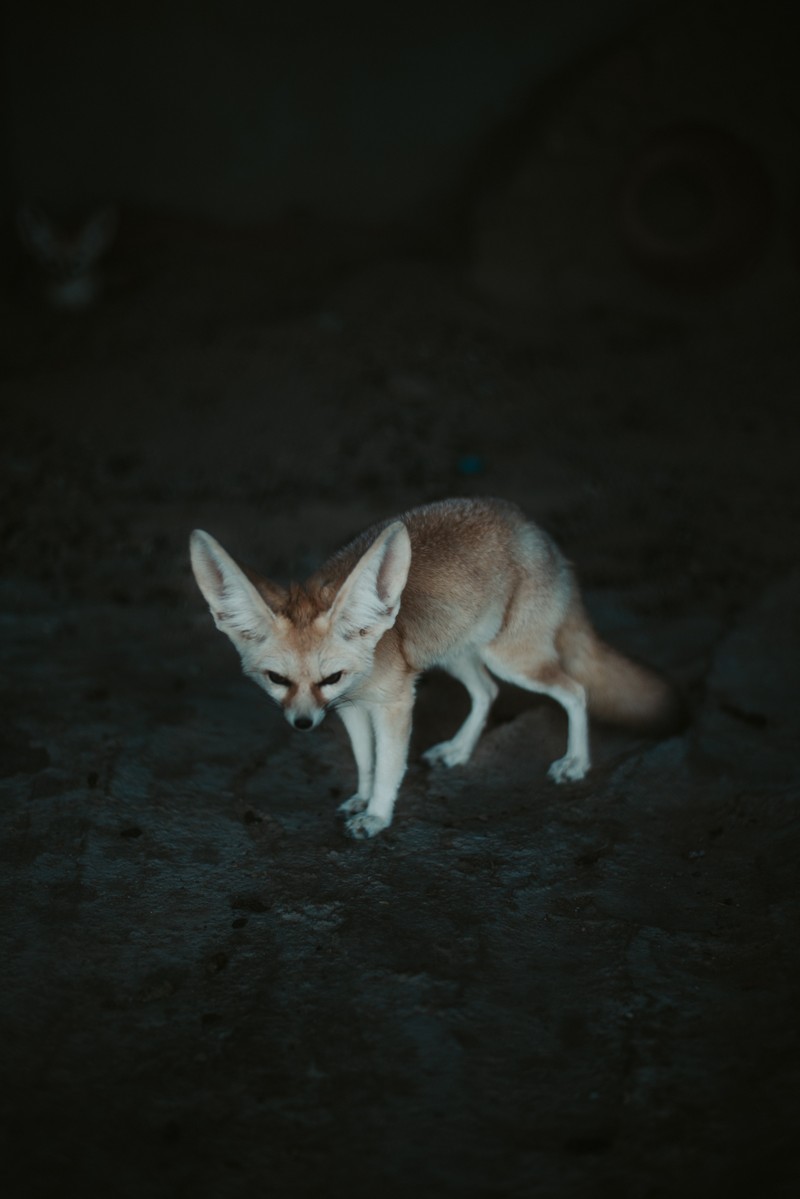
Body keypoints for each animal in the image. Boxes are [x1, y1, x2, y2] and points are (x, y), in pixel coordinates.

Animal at [189, 493, 681, 834]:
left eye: (331, 676)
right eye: (277, 679)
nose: (303, 724)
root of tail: (537, 533)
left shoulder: (394, 703)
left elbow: (389, 765)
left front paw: (377, 815)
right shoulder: (350, 709)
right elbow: (365, 761)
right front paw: (362, 798)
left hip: (511, 660)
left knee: (575, 691)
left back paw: (575, 762)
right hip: (459, 655)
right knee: (487, 692)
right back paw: (460, 750)